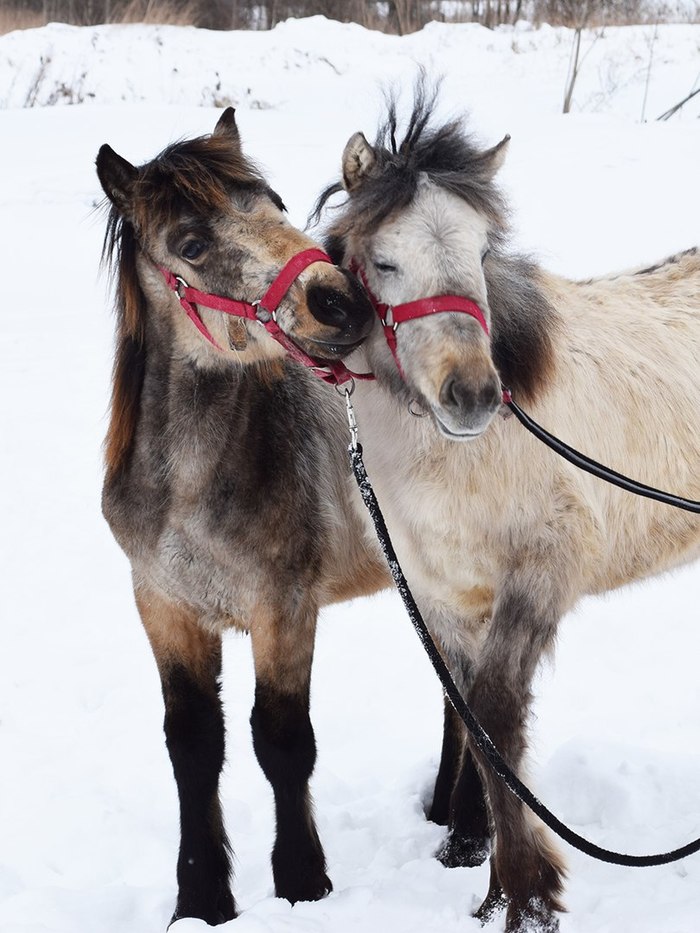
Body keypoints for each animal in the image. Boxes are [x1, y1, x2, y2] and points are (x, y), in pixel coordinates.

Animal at [97, 109, 394, 924]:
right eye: (191, 244)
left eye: (275, 203)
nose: (340, 302)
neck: (189, 494)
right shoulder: (163, 606)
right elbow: (194, 744)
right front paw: (201, 896)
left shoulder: (283, 608)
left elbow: (283, 743)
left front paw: (301, 882)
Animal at [316, 89, 700, 932]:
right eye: (384, 260)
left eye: (480, 251)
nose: (472, 394)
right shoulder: (444, 593)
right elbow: (470, 717)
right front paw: (482, 866)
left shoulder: (540, 573)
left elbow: (493, 715)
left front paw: (524, 896)